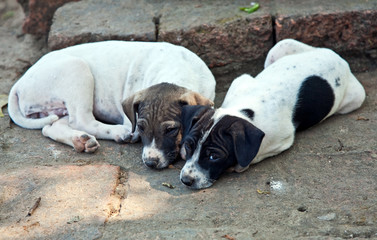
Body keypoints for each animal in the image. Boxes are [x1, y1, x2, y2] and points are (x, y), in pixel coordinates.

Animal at [8, 40, 214, 169]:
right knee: (82, 120)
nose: (150, 163)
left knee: (51, 127)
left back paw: (80, 141)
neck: (176, 69)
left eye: (171, 130)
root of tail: (19, 83)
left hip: (60, 106)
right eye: (141, 127)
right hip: (77, 70)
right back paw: (118, 133)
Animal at [179, 39, 364, 189]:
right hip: (281, 46)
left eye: (213, 156)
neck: (245, 110)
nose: (186, 180)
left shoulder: (283, 140)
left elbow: (253, 156)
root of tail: (339, 58)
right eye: (188, 146)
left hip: (356, 98)